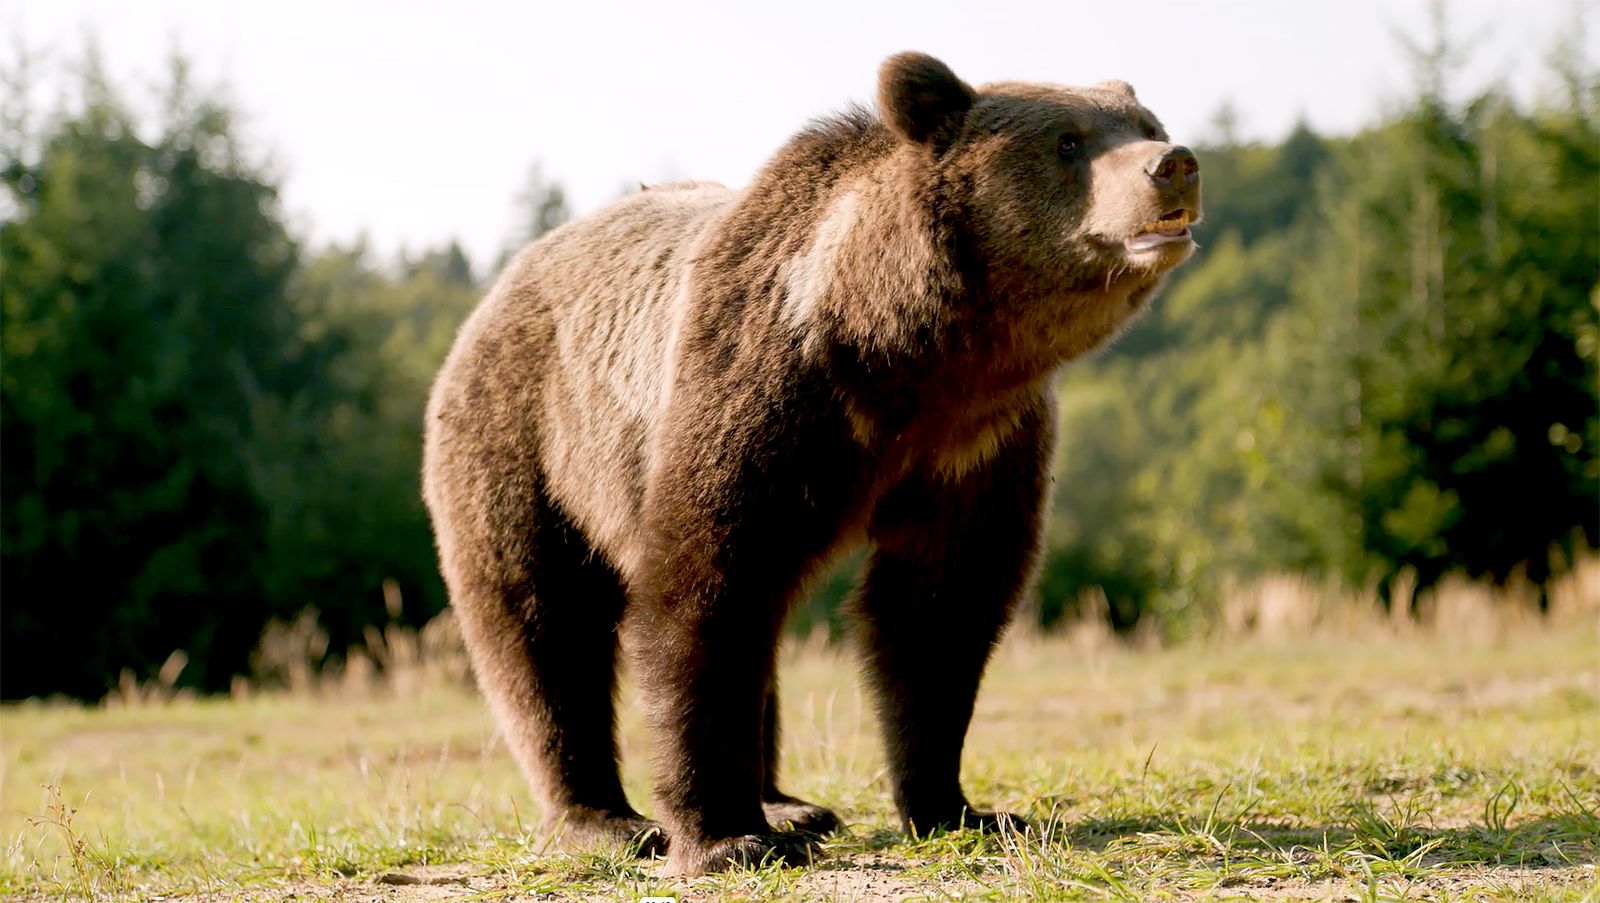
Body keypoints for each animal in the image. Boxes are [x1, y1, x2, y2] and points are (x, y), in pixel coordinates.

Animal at [422, 51, 1201, 876]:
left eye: (1145, 123)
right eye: (1067, 141)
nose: (1173, 164)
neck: (904, 358)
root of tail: (501, 286)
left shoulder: (982, 440)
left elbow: (941, 607)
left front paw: (964, 807)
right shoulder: (763, 390)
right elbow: (704, 592)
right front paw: (723, 835)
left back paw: (790, 804)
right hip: (522, 440)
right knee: (540, 623)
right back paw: (604, 818)